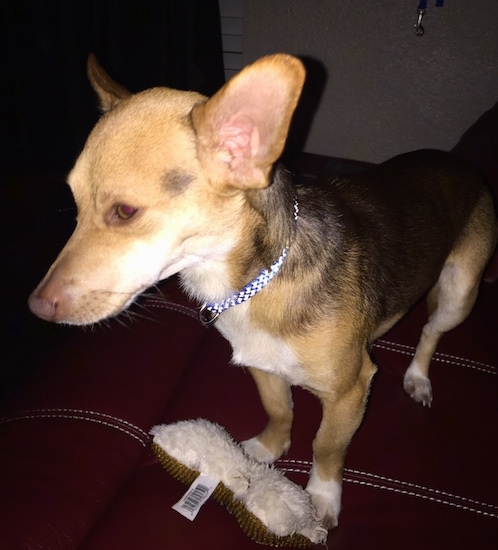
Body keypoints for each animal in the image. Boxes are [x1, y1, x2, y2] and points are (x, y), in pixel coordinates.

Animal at [29, 55, 496, 532]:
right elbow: (280, 409)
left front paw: (320, 499)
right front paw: (263, 453)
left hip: (461, 292)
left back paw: (418, 376)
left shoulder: (350, 390)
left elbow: (327, 446)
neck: (251, 283)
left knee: (431, 332)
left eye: (124, 212)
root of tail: (459, 163)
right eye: (74, 205)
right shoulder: (261, 365)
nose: (36, 307)